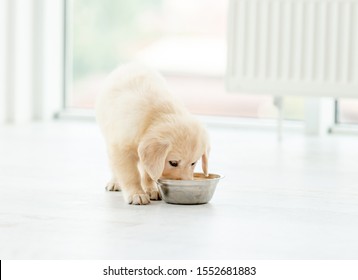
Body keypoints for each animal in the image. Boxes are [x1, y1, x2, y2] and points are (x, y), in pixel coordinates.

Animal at [96, 63, 210, 205]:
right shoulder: (121, 148)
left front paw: (151, 189)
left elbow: (149, 173)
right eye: (173, 163)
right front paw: (137, 193)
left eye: (193, 163)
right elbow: (130, 174)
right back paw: (115, 182)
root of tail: (130, 65)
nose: (186, 185)